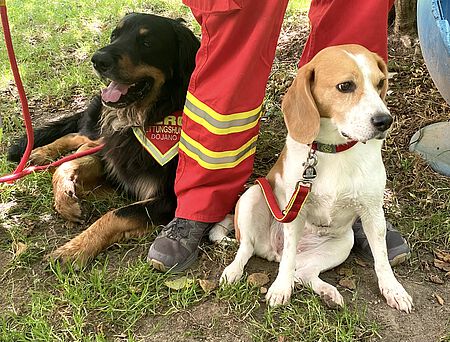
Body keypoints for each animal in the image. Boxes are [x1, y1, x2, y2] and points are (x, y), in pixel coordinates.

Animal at [7, 12, 200, 264]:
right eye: (114, 35)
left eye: (147, 43)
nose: (98, 60)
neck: (149, 119)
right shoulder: (116, 158)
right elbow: (69, 165)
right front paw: (66, 200)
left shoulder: (168, 199)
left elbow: (115, 214)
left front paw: (74, 249)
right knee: (78, 137)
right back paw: (41, 152)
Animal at [220, 44, 414, 312]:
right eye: (346, 86)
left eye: (380, 83)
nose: (385, 120)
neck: (335, 150)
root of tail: (272, 251)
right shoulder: (295, 212)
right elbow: (288, 259)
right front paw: (280, 288)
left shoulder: (373, 213)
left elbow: (382, 259)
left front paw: (393, 289)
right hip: (253, 195)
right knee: (250, 250)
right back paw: (234, 272)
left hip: (344, 243)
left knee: (303, 273)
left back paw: (327, 293)